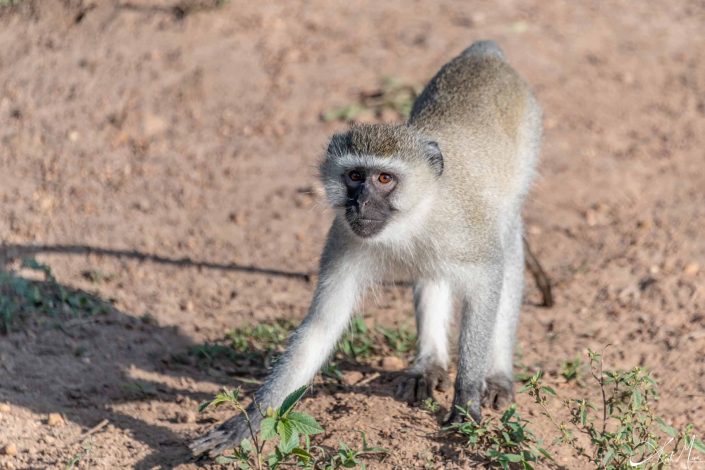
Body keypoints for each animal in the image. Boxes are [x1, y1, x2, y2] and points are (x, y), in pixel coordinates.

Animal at [192, 40, 544, 458]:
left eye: (385, 179)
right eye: (356, 176)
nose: (360, 204)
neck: (414, 217)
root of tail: (483, 54)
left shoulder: (465, 231)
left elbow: (490, 279)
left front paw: (467, 397)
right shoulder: (344, 236)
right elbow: (321, 325)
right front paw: (246, 421)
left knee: (509, 247)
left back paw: (497, 375)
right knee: (431, 273)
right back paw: (428, 365)